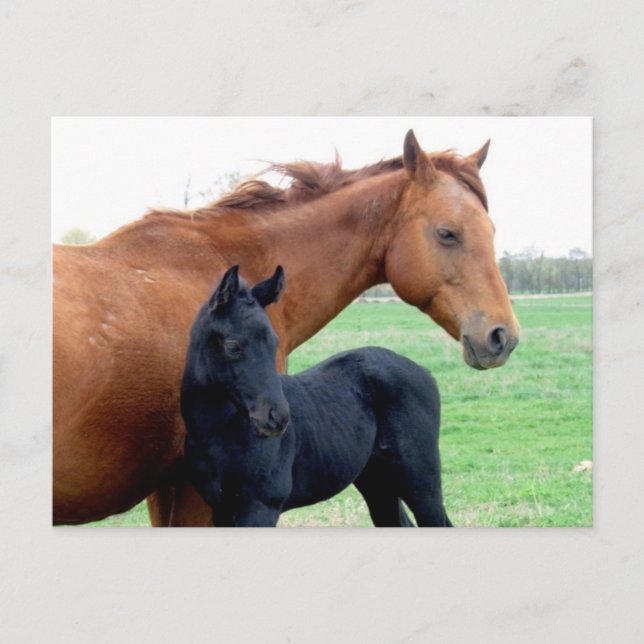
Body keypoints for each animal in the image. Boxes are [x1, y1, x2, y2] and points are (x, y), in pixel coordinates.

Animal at [181, 265, 451, 528]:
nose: (277, 418)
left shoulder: (261, 507)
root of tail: (425, 372)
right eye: (233, 346)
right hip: (377, 482)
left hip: (421, 483)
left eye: (275, 342)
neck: (221, 433)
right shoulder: (222, 510)